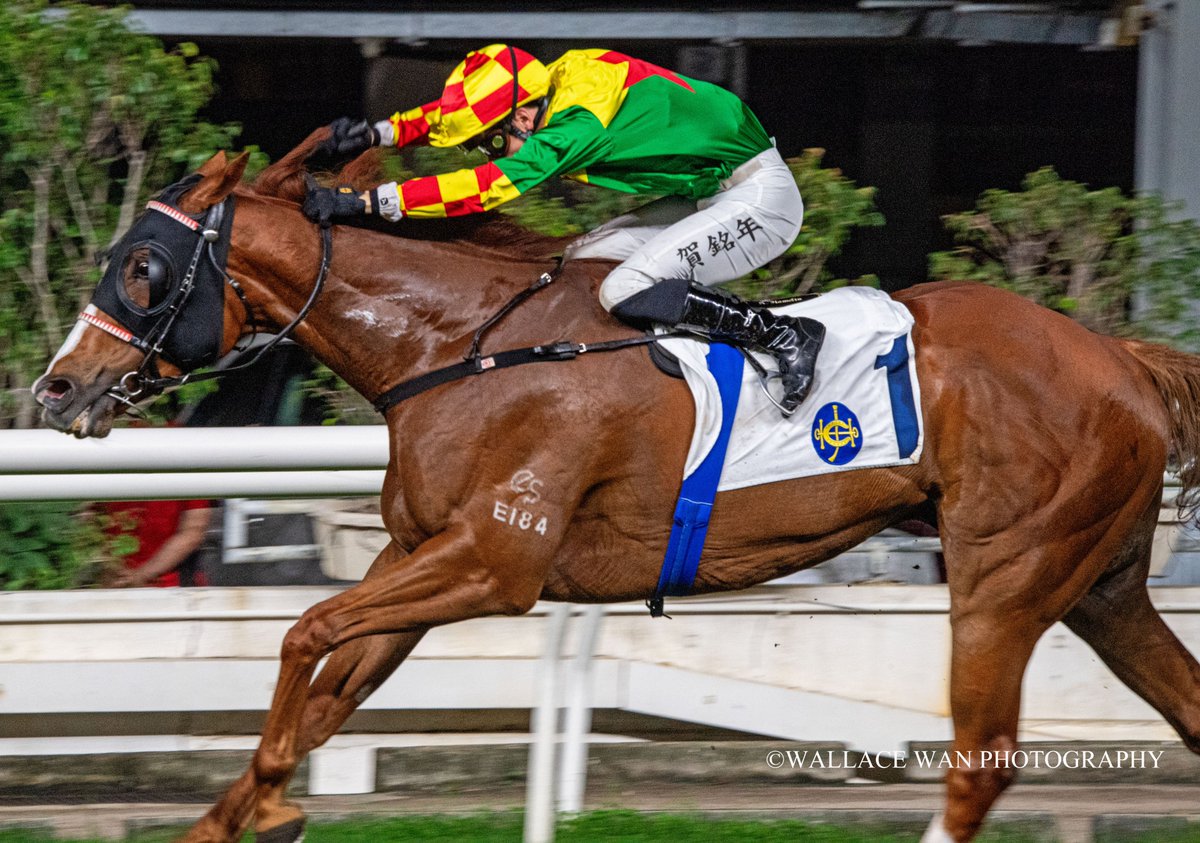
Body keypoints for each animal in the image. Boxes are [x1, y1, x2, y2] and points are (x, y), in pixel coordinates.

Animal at [32, 133, 1200, 843]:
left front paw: (270, 802)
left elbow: (302, 633)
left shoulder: (495, 561)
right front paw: (244, 809)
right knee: (1181, 708)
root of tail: (1121, 358)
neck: (460, 345)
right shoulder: (420, 556)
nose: (57, 388)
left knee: (978, 765)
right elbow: (326, 685)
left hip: (1004, 579)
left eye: (141, 269)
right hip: (1100, 584)